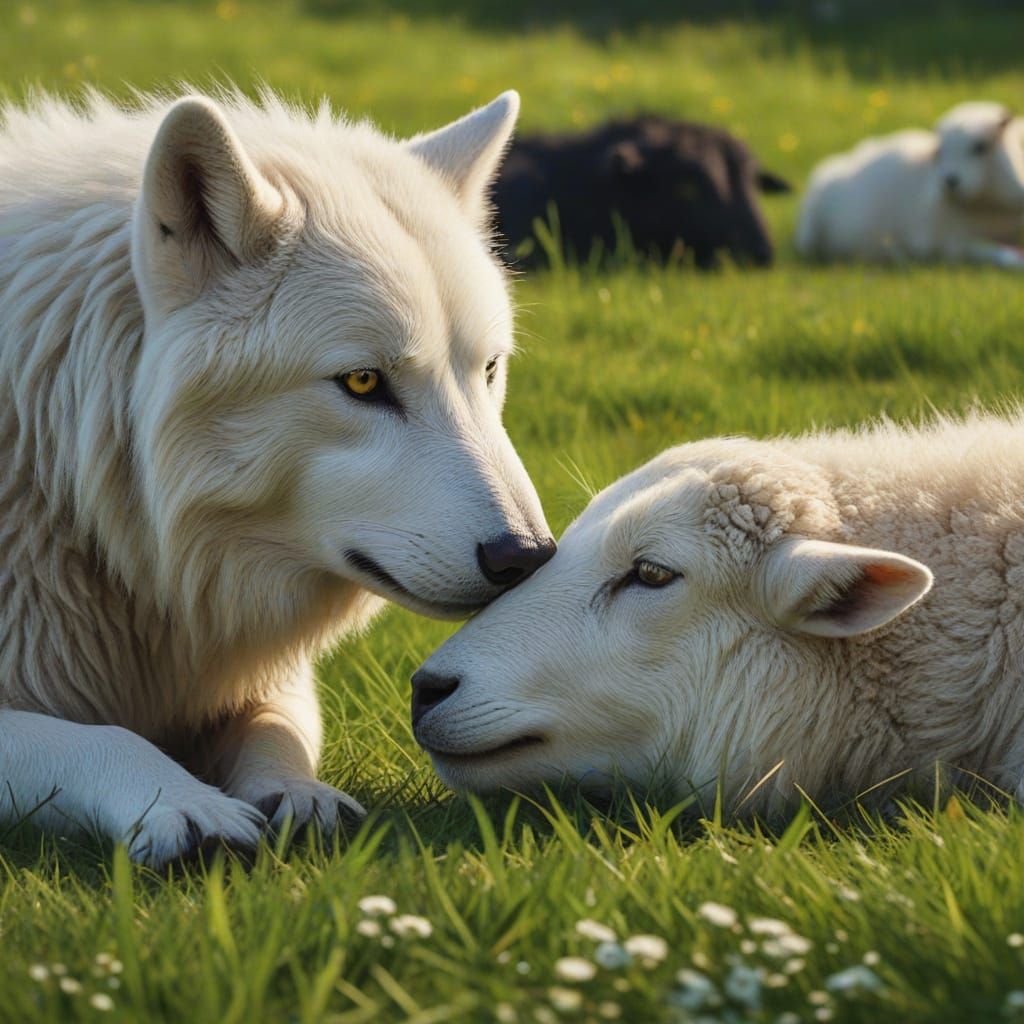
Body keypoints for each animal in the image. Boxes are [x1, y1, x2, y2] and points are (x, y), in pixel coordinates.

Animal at [0, 87, 554, 866]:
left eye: (489, 369)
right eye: (362, 382)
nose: (527, 557)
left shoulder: (255, 678)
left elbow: (278, 728)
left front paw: (297, 796)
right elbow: (95, 738)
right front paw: (185, 804)